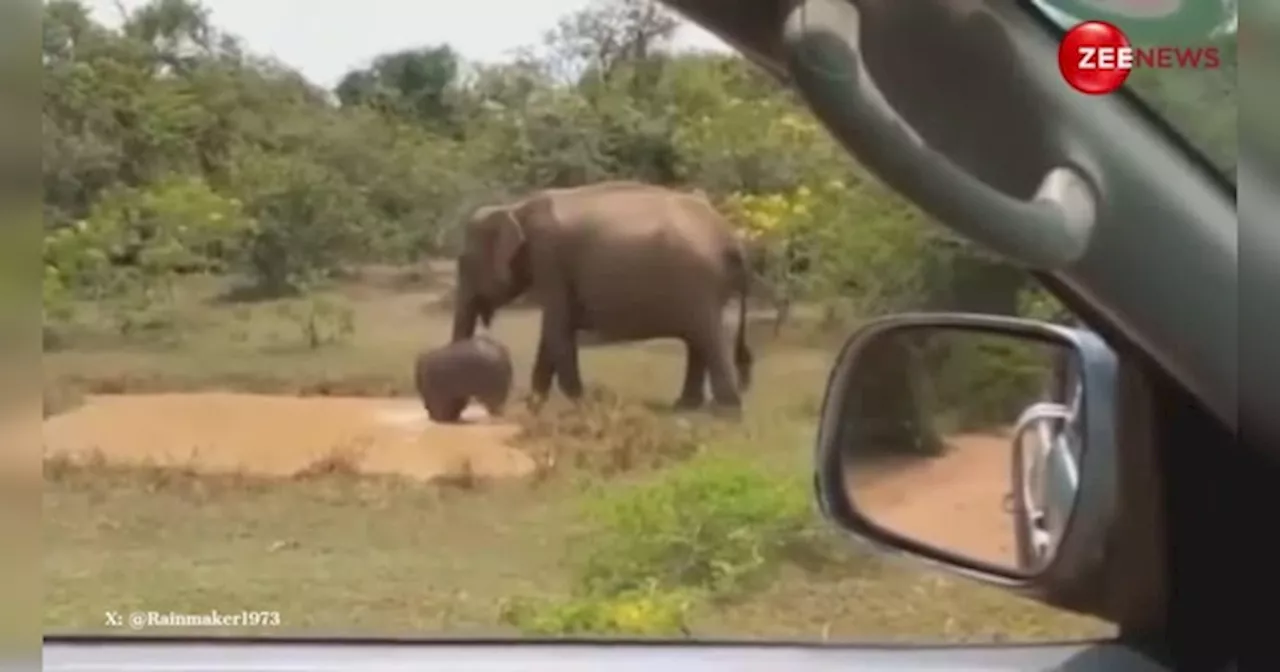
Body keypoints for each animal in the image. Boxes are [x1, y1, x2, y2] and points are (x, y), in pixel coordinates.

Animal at [450, 180, 747, 409]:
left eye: (464, 261)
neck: (516, 207)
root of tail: (728, 235)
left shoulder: (550, 260)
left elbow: (557, 330)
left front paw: (579, 405)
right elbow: (552, 335)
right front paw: (535, 406)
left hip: (701, 285)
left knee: (709, 337)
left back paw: (726, 411)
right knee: (699, 341)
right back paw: (687, 406)